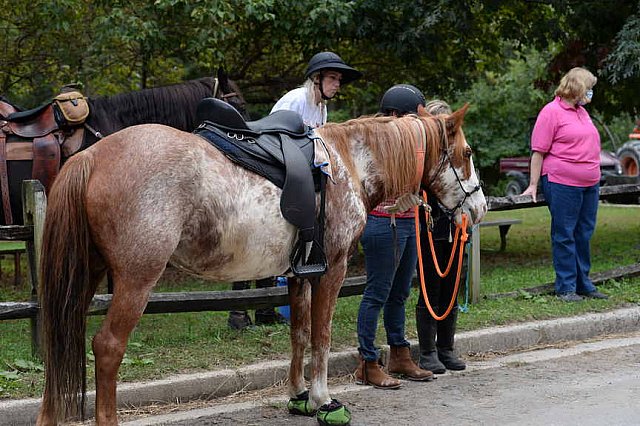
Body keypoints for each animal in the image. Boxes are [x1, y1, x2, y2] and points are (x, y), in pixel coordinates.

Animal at [35, 104, 484, 426]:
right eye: (466, 153)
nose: (478, 209)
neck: (348, 163)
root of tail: (93, 156)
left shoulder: (299, 275)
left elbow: (299, 334)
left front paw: (299, 396)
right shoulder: (333, 271)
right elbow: (321, 337)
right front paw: (324, 400)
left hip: (83, 278)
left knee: (60, 340)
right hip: (135, 281)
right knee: (108, 347)